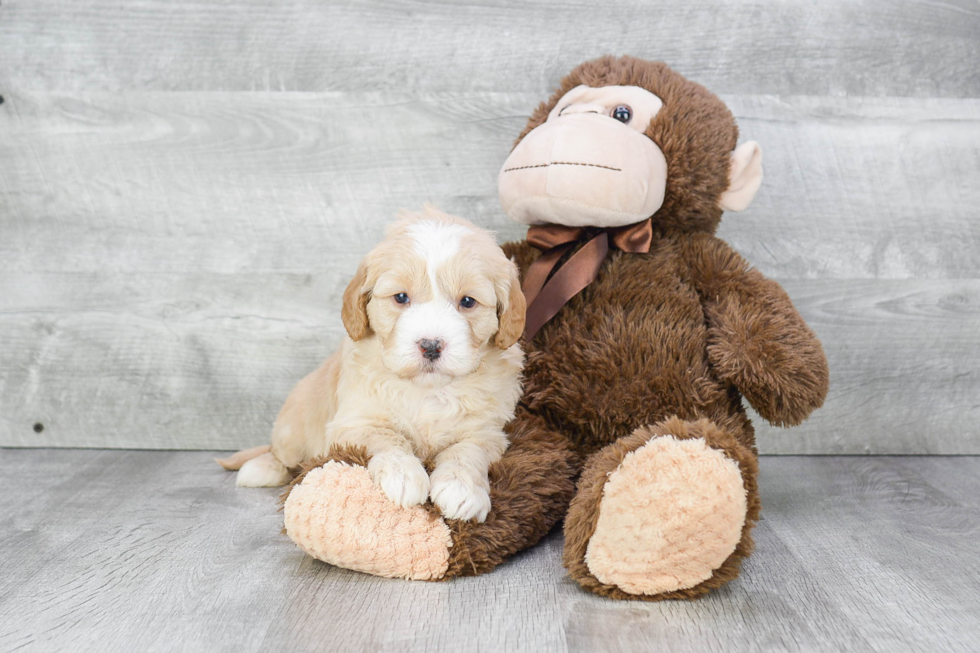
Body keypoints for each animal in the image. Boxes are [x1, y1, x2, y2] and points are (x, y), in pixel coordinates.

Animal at [220, 206, 528, 524]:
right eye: (401, 297)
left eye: (467, 301)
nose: (430, 345)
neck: (427, 390)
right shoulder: (352, 422)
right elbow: (386, 436)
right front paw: (403, 475)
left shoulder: (488, 431)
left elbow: (468, 451)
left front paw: (461, 488)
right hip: (292, 428)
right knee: (282, 455)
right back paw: (262, 468)